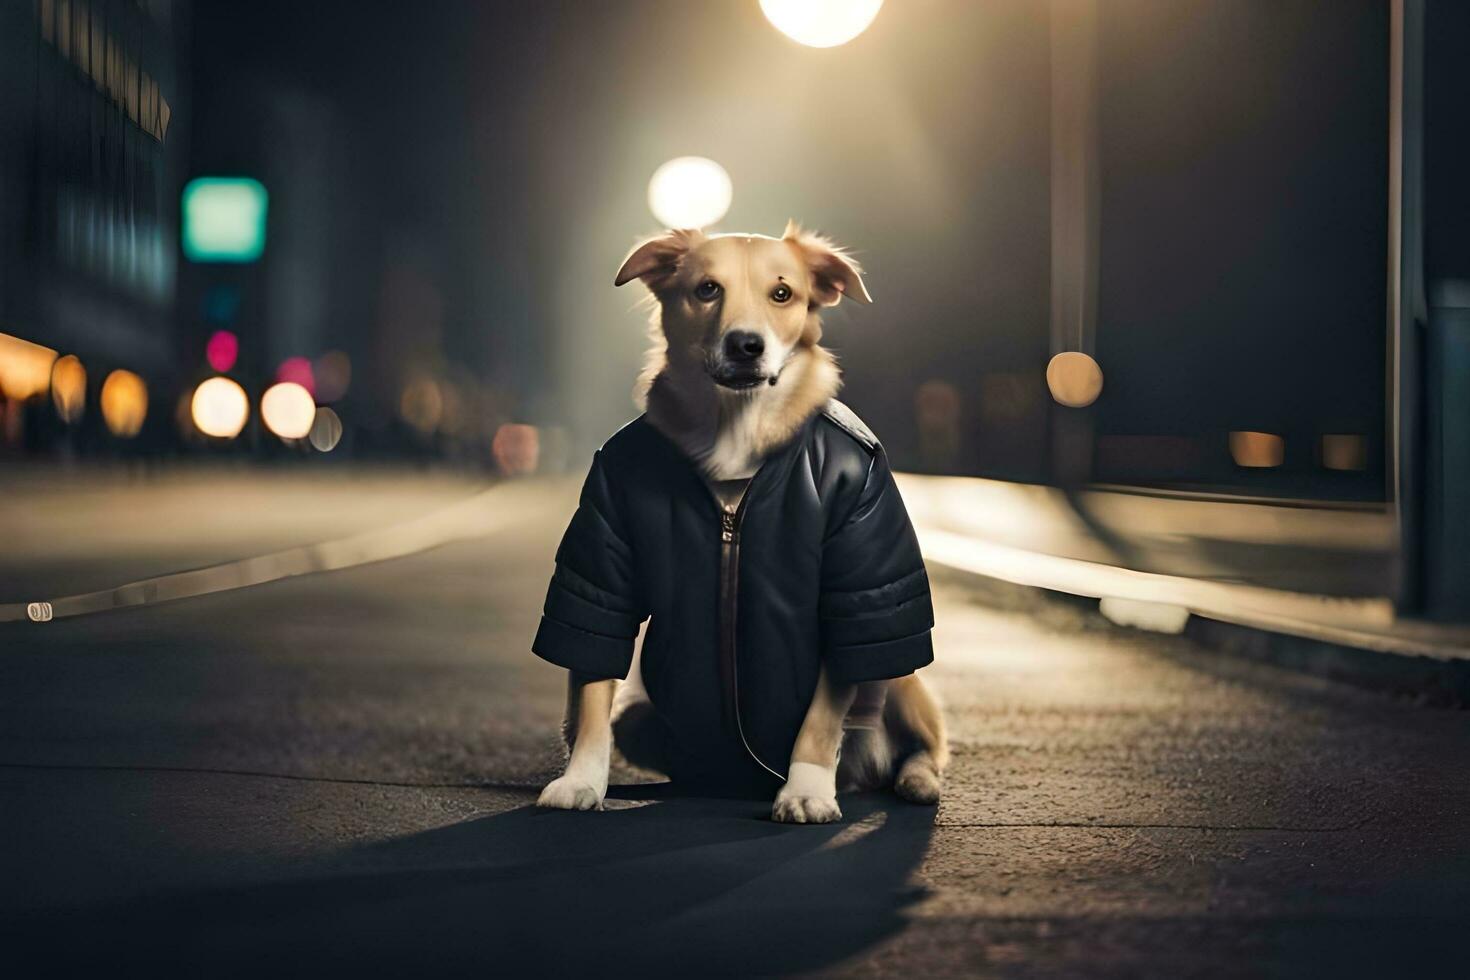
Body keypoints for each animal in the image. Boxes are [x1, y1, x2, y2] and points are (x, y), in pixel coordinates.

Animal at [535, 220, 946, 822]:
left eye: (783, 294)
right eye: (707, 289)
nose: (746, 345)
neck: (736, 426)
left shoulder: (848, 587)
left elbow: (822, 717)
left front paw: (804, 789)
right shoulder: (603, 552)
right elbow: (590, 675)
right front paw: (581, 780)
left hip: (899, 675)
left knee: (925, 741)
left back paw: (912, 780)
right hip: (643, 717)